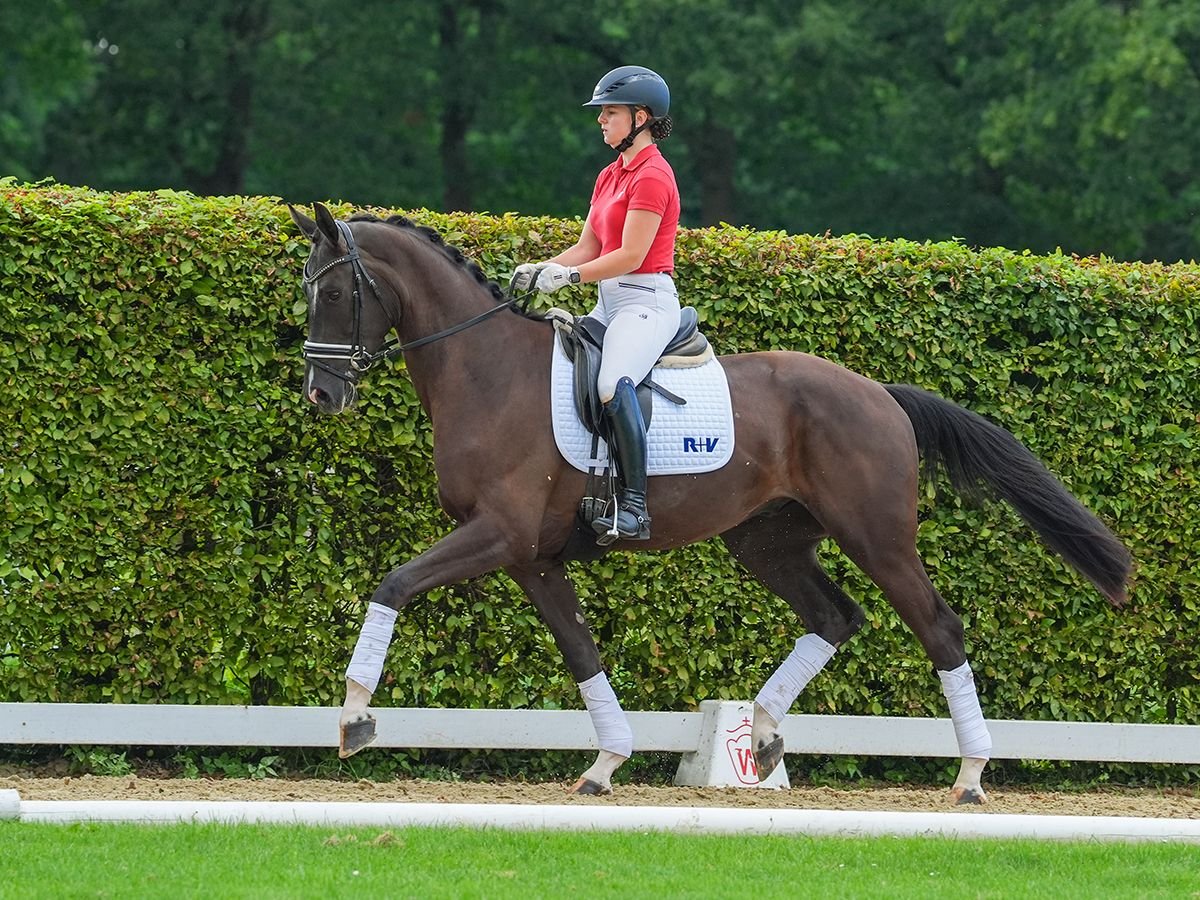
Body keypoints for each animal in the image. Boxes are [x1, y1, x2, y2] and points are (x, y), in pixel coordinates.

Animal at [285, 202, 1128, 801]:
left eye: (337, 291)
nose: (322, 395)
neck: (486, 371)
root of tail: (880, 393)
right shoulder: (532, 557)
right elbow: (582, 651)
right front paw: (606, 762)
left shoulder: (499, 534)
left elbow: (393, 583)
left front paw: (354, 716)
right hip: (765, 540)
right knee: (835, 617)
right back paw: (764, 734)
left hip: (877, 538)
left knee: (938, 628)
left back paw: (971, 776)